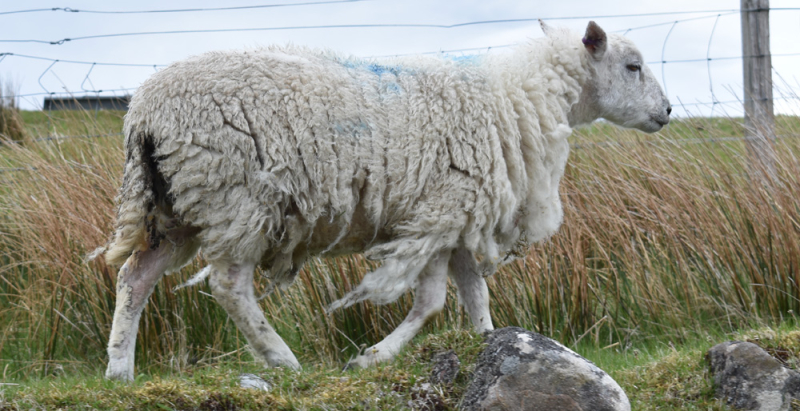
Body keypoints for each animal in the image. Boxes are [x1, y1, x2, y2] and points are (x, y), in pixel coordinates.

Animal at [92, 19, 668, 380]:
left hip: (174, 206)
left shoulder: (458, 218)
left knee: (134, 278)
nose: (666, 112)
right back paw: (282, 360)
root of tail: (142, 113)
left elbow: (476, 298)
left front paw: (493, 347)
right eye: (633, 65)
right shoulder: (438, 212)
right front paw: (371, 358)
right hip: (235, 197)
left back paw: (119, 370)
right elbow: (431, 302)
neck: (519, 99)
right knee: (229, 286)